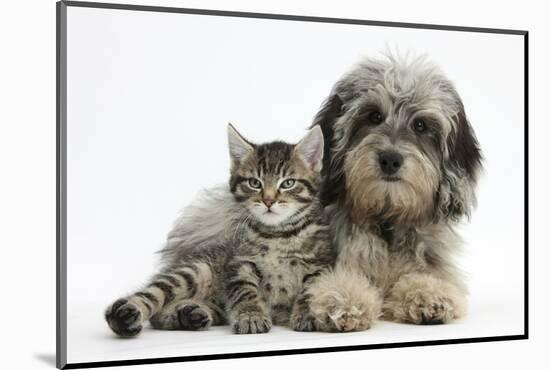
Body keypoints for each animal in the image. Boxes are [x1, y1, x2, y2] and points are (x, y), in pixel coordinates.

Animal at [105, 124, 334, 336]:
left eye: (288, 183)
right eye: (254, 183)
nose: (268, 200)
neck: (278, 234)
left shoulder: (320, 265)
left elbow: (312, 291)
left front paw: (307, 313)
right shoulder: (238, 263)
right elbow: (245, 291)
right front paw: (251, 316)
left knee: (162, 316)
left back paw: (188, 314)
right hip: (195, 270)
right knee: (152, 297)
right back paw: (125, 315)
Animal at [306, 53, 484, 330]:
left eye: (420, 125)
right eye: (373, 116)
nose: (390, 159)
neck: (387, 220)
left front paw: (428, 294)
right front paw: (343, 299)